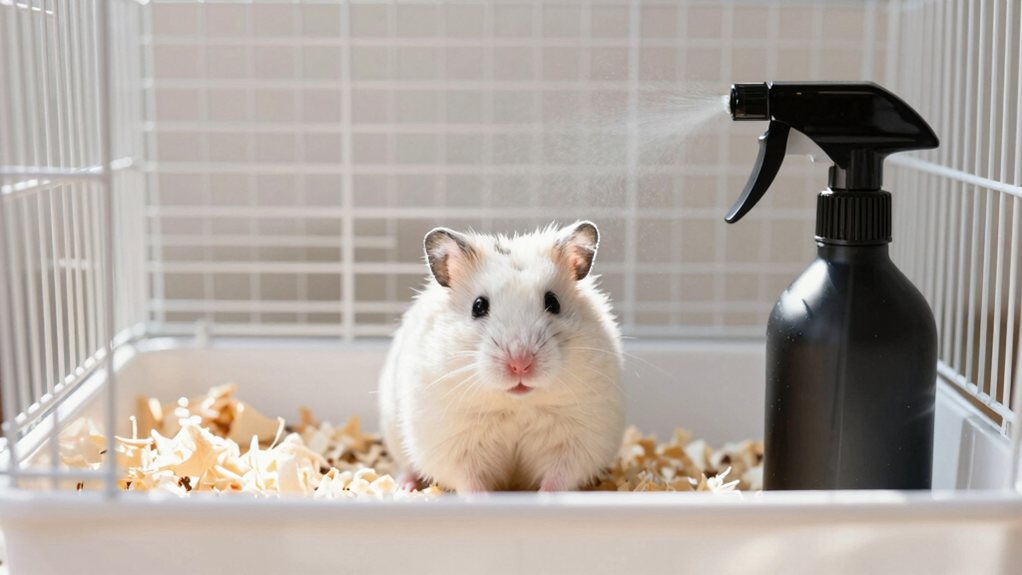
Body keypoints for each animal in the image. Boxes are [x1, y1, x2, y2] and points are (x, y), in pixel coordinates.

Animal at [377, 221, 625, 493]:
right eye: (478, 306)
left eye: (553, 302)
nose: (520, 364)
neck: (516, 403)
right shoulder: (454, 442)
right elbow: (470, 481)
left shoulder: (577, 440)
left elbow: (558, 478)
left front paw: (543, 497)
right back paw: (404, 487)